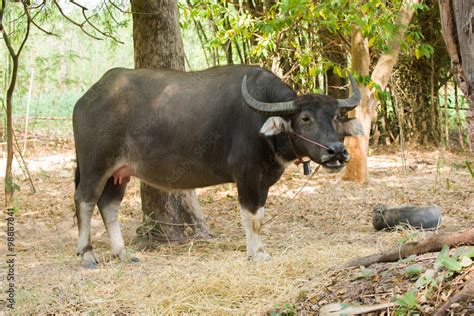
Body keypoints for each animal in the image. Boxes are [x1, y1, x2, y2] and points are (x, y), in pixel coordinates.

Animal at [73, 65, 362, 268]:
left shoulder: (262, 181)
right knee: (85, 200)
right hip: (95, 166)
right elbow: (250, 217)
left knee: (109, 205)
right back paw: (87, 254)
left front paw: (256, 251)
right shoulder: (247, 176)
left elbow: (259, 216)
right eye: (305, 118)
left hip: (119, 173)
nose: (336, 151)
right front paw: (257, 254)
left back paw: (123, 253)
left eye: (335, 116)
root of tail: (86, 100)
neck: (262, 124)